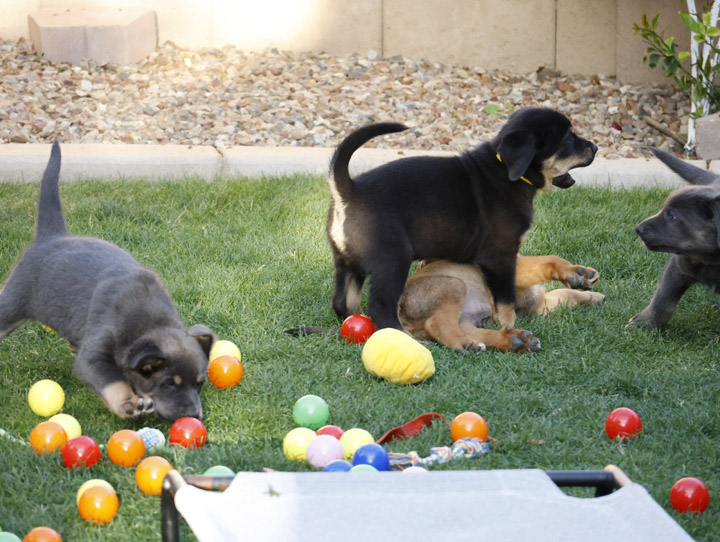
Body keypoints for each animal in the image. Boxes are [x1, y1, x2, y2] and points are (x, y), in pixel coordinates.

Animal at [0, 143, 214, 420]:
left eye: (200, 383)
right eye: (169, 384)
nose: (194, 415)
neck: (147, 320)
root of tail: (52, 236)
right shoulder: (93, 356)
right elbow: (113, 380)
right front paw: (129, 403)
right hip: (12, 304)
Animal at [330, 108, 600, 344]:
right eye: (568, 138)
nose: (596, 147)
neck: (505, 169)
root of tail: (349, 191)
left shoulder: (508, 259)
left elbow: (549, 269)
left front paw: (581, 279)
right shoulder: (500, 257)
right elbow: (506, 305)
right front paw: (509, 326)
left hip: (347, 263)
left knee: (343, 304)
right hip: (395, 260)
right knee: (385, 308)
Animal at [624, 147, 720, 330]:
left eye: (671, 215)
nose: (639, 229)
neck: (711, 260)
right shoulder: (678, 266)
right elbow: (663, 300)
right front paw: (644, 323)